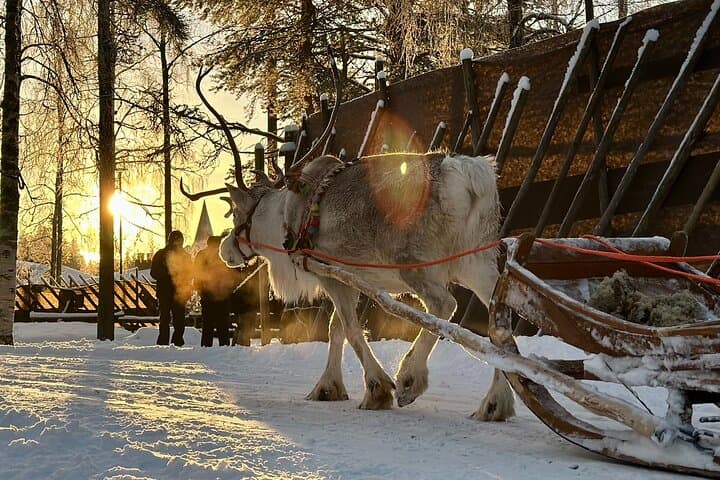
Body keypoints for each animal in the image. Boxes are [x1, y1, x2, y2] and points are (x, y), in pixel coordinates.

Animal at [182, 50, 515, 421]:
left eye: (236, 214)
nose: (225, 251)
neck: (286, 217)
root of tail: (468, 175)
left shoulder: (331, 273)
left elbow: (351, 328)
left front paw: (377, 389)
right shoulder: (352, 280)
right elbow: (336, 327)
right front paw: (327, 387)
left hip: (415, 265)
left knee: (444, 305)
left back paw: (409, 379)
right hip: (476, 262)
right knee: (499, 320)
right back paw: (494, 403)